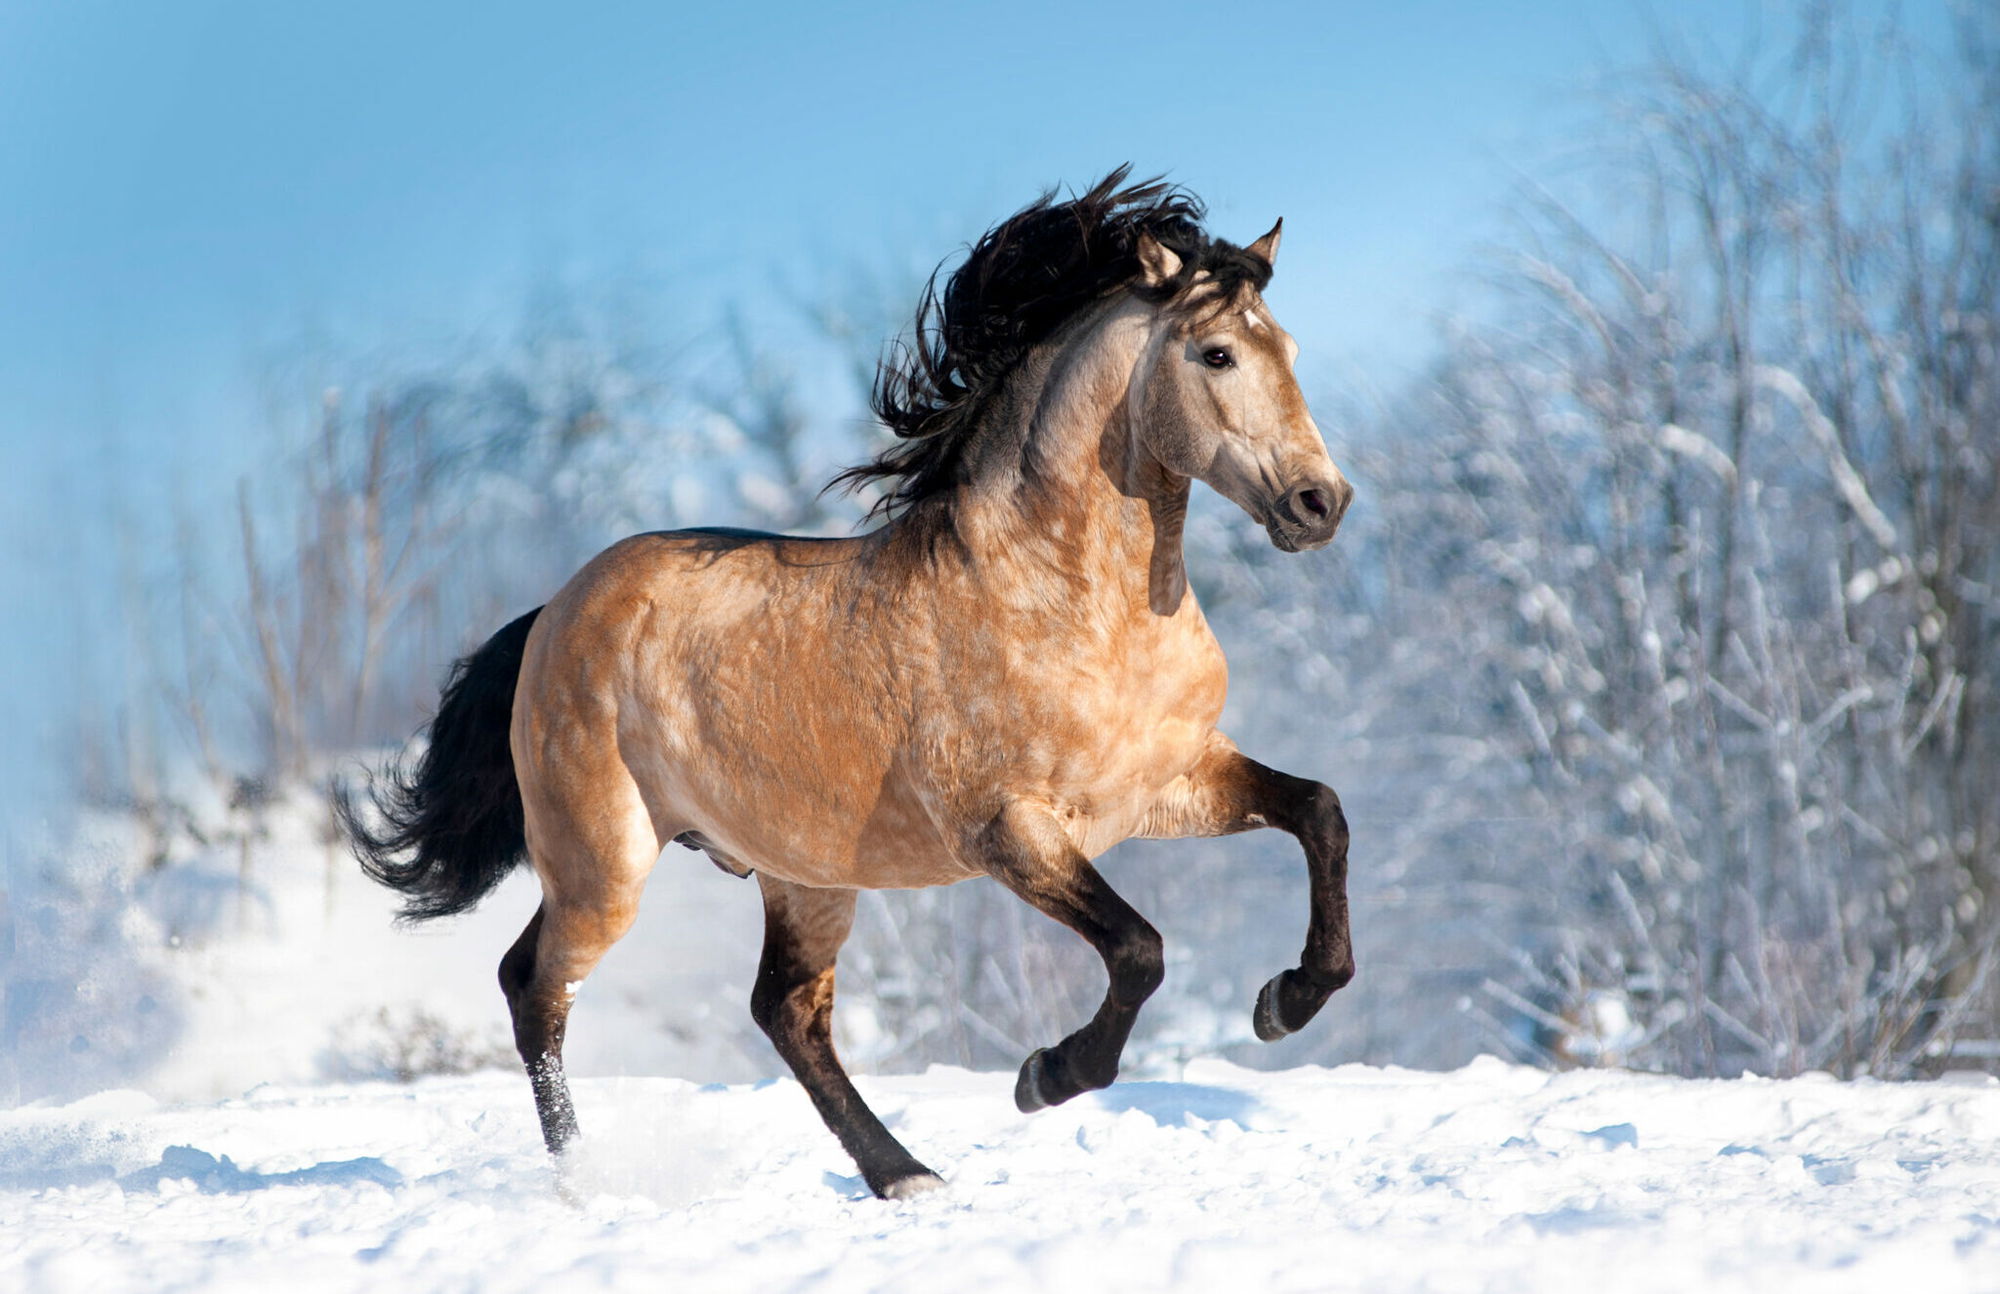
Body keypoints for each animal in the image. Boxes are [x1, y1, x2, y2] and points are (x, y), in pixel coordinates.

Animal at [340, 168, 1356, 1200]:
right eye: (1218, 353)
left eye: (1290, 349)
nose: (1321, 503)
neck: (1066, 599)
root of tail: (556, 610)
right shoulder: (1007, 829)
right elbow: (1140, 950)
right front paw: (1045, 1076)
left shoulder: (1168, 783)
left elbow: (1319, 811)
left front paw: (1286, 1001)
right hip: (605, 863)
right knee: (537, 988)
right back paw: (586, 1180)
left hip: (801, 874)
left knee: (784, 1011)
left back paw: (905, 1175)